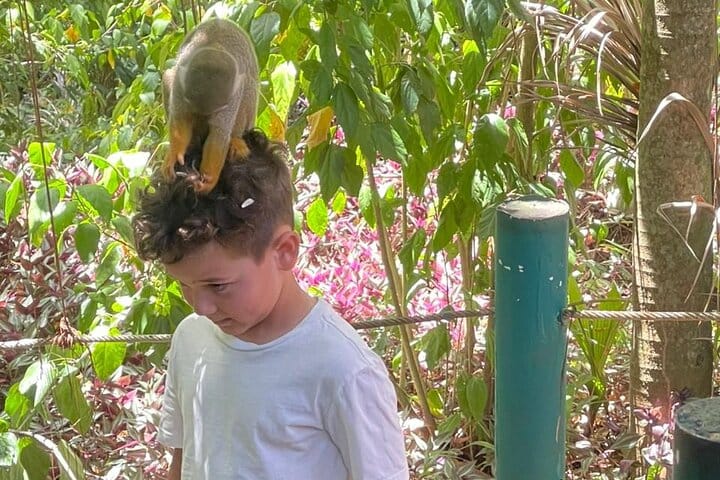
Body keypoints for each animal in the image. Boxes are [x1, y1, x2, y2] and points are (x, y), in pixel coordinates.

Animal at [161, 18, 259, 194]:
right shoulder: (181, 80)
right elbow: (180, 118)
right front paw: (174, 155)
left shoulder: (231, 95)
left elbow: (219, 134)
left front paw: (209, 181)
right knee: (167, 75)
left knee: (248, 84)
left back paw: (235, 140)